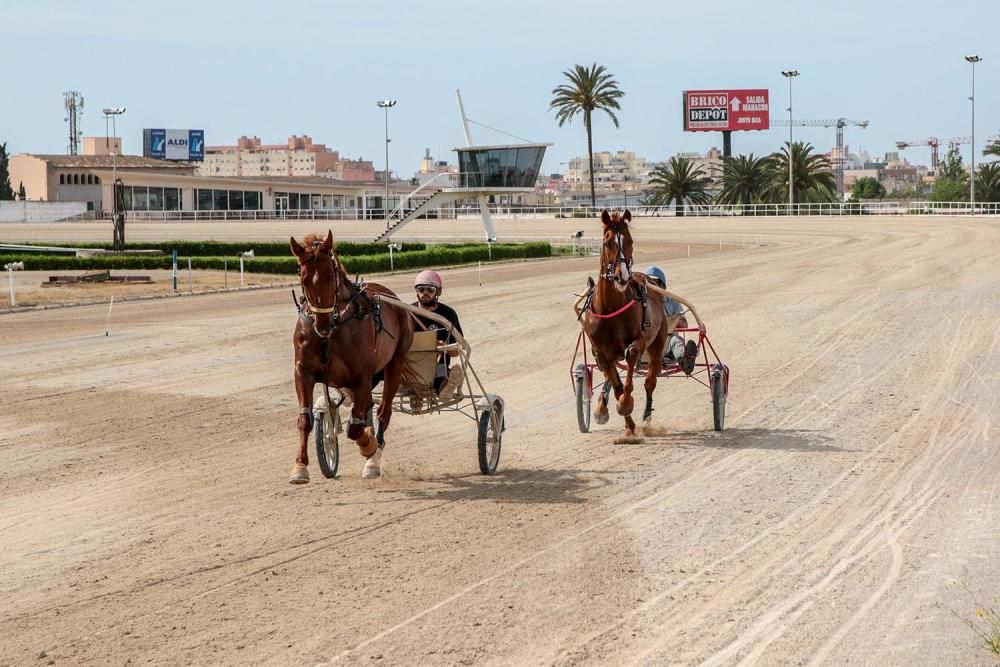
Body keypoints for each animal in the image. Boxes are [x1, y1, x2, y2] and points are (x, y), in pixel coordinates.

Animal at [290, 232, 414, 482]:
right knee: (366, 407)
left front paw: (369, 447)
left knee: (383, 412)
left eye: (331, 275)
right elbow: (305, 420)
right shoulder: (303, 372)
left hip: (395, 363)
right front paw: (300, 467)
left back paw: (374, 455)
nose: (322, 324)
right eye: (303, 278)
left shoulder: (362, 376)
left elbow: (355, 429)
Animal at [584, 211, 668, 436]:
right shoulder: (601, 353)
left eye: (629, 241)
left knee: (650, 382)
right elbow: (616, 385)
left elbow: (630, 361)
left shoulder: (639, 342)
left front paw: (626, 403)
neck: (610, 309)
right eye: (607, 243)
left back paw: (646, 415)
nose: (621, 277)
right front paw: (628, 424)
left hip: (658, 342)